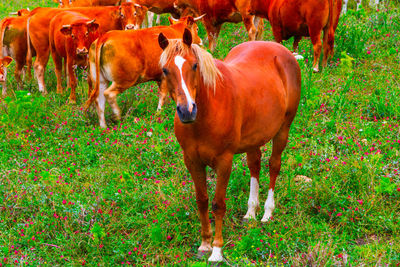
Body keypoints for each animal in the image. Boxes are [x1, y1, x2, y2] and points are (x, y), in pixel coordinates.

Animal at [159, 29, 300, 262]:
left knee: (273, 165)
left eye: (194, 66)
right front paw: (204, 244)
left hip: (283, 130)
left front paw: (216, 251)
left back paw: (267, 212)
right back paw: (251, 212)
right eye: (164, 69)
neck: (206, 113)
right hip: (254, 138)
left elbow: (218, 204)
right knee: (255, 165)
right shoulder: (192, 160)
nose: (187, 111)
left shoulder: (224, 161)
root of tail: (283, 51)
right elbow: (202, 200)